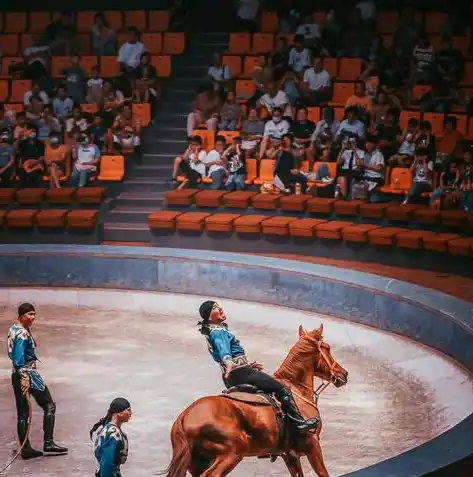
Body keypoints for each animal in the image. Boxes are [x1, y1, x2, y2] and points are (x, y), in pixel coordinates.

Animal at [161, 324, 346, 476]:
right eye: (327, 348)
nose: (343, 373)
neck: (295, 387)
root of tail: (184, 417)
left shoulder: (290, 455)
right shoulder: (312, 446)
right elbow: (323, 473)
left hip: (198, 463)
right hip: (232, 453)